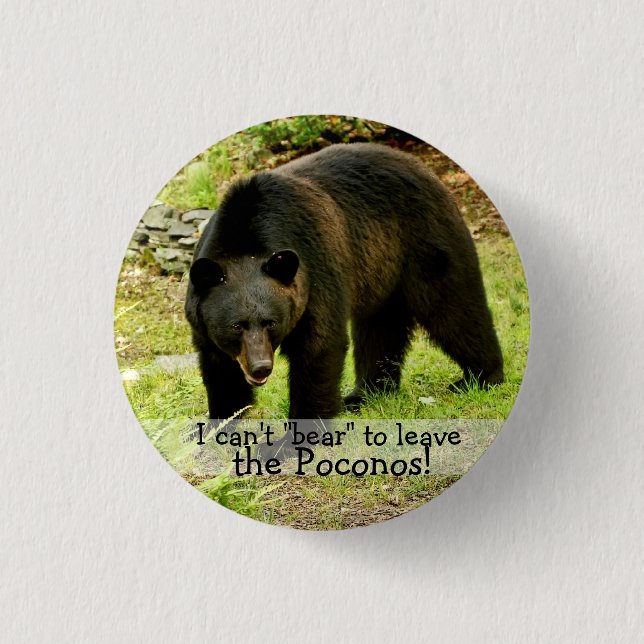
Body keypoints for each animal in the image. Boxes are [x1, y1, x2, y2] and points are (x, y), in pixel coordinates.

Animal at [185, 143, 503, 445]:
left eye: (270, 322)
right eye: (236, 325)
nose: (261, 367)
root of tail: (423, 167)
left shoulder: (315, 270)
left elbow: (318, 347)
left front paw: (288, 442)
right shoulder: (204, 316)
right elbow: (219, 366)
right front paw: (214, 427)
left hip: (424, 243)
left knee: (453, 307)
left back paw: (482, 377)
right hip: (381, 272)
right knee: (380, 328)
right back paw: (365, 393)